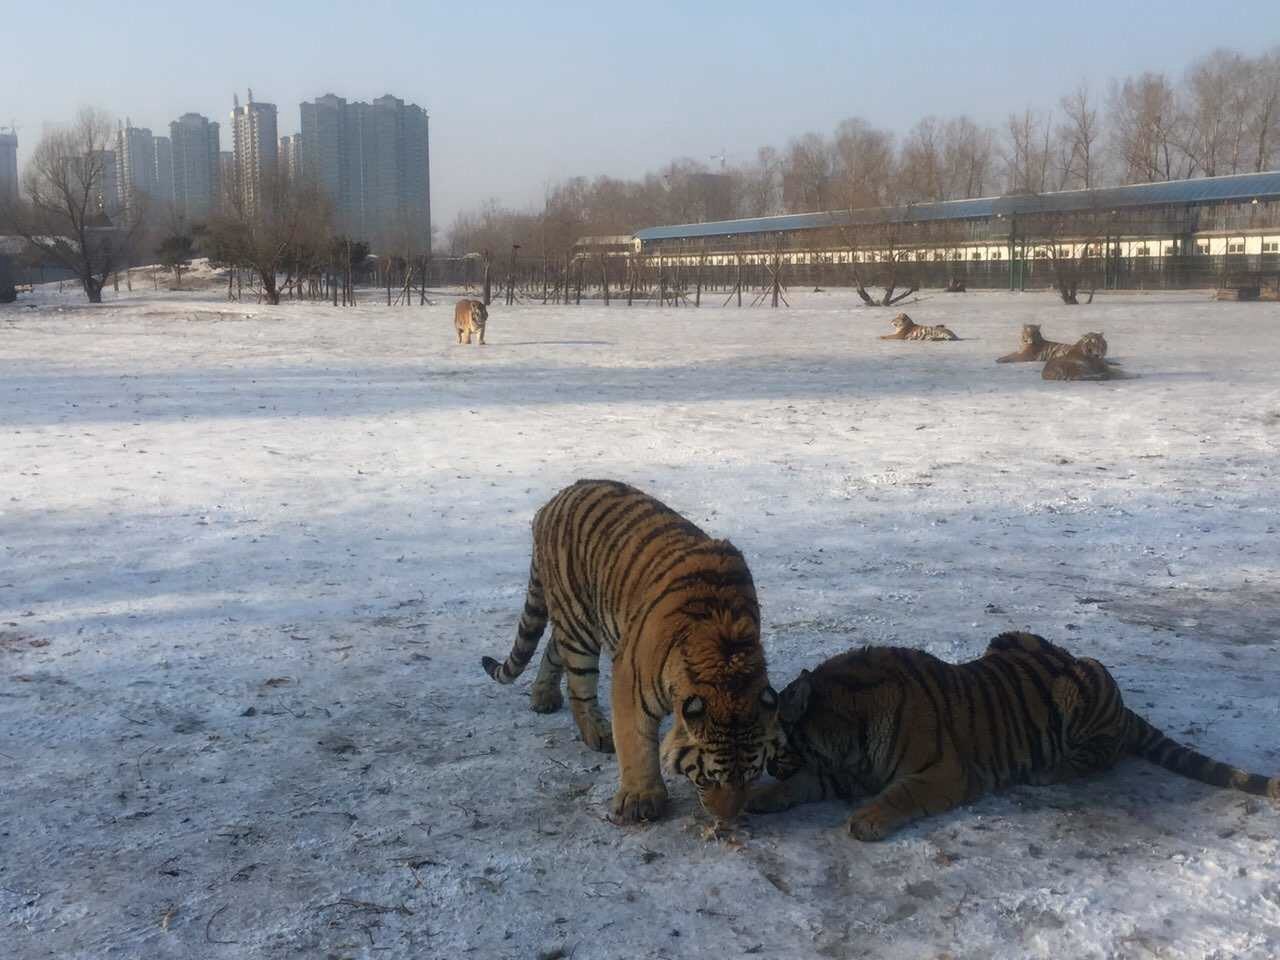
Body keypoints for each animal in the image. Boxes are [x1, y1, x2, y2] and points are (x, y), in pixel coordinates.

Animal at [481, 481, 778, 829]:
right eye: (708, 778)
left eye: (751, 776)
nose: (726, 819)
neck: (727, 662)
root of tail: (553, 501)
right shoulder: (631, 682)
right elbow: (635, 742)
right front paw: (640, 800)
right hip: (579, 622)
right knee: (578, 685)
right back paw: (596, 733)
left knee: (554, 647)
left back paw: (543, 697)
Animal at [747, 632, 1274, 839]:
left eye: (775, 742)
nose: (768, 765)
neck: (849, 737)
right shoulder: (848, 771)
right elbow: (802, 784)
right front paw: (762, 797)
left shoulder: (945, 772)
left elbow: (901, 795)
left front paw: (867, 820)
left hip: (1080, 685)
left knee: (1105, 752)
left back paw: (1051, 771)